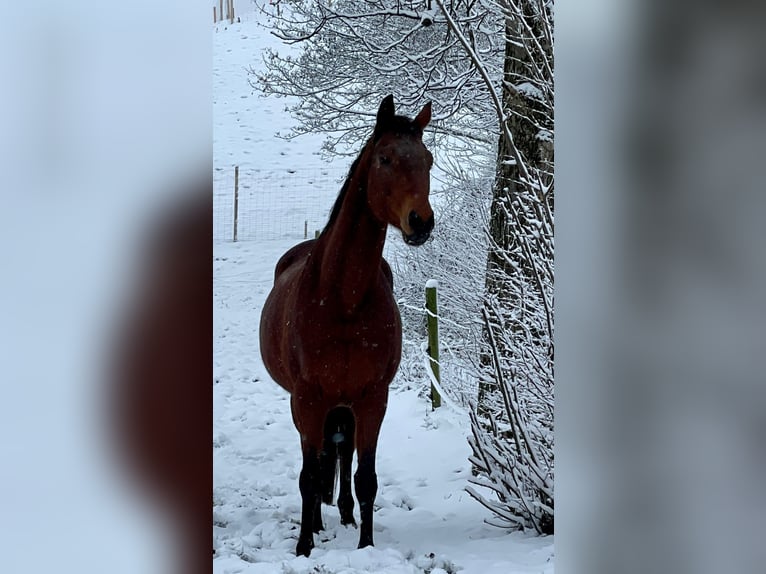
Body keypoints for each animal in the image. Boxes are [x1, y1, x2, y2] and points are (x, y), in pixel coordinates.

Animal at [260, 95, 436, 560]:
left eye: (428, 159)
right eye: (385, 158)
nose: (421, 222)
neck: (343, 301)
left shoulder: (373, 399)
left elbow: (365, 478)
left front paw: (367, 544)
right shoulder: (308, 399)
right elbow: (309, 476)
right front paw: (304, 546)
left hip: (346, 405)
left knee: (341, 456)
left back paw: (343, 514)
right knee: (323, 458)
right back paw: (321, 522)